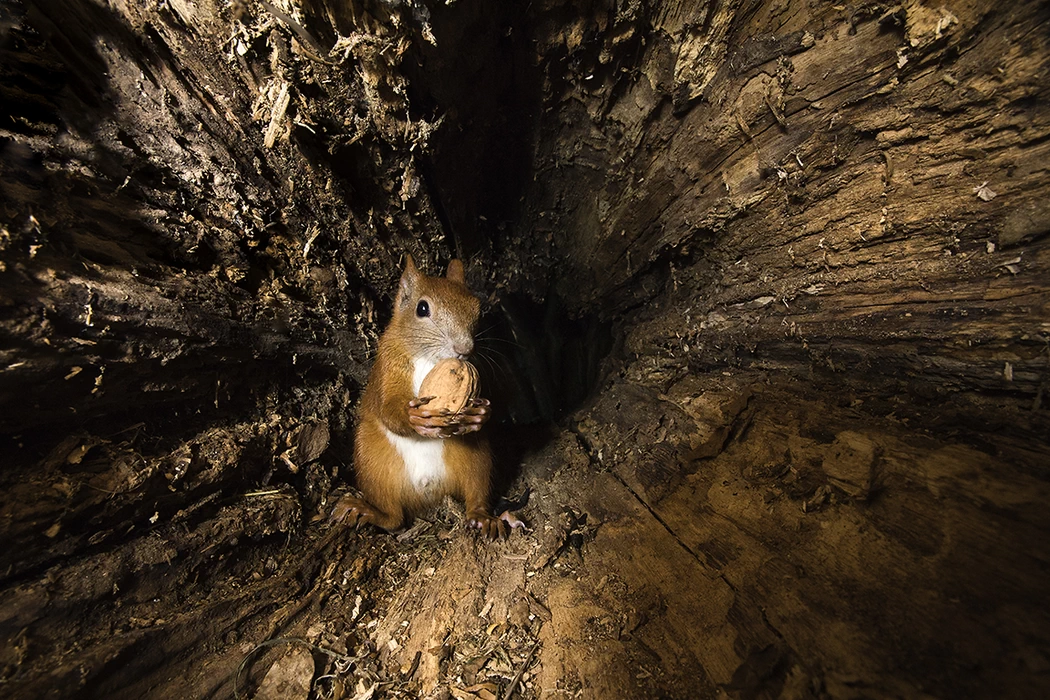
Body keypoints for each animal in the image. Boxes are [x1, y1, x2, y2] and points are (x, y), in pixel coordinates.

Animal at [331, 255, 509, 539]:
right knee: (394, 518)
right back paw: (369, 511)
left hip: (476, 457)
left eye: (477, 308)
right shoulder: (387, 367)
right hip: (371, 458)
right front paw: (416, 418)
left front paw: (479, 413)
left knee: (476, 494)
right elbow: (388, 409)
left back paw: (483, 518)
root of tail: (428, 494)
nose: (464, 348)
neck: (430, 359)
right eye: (422, 308)